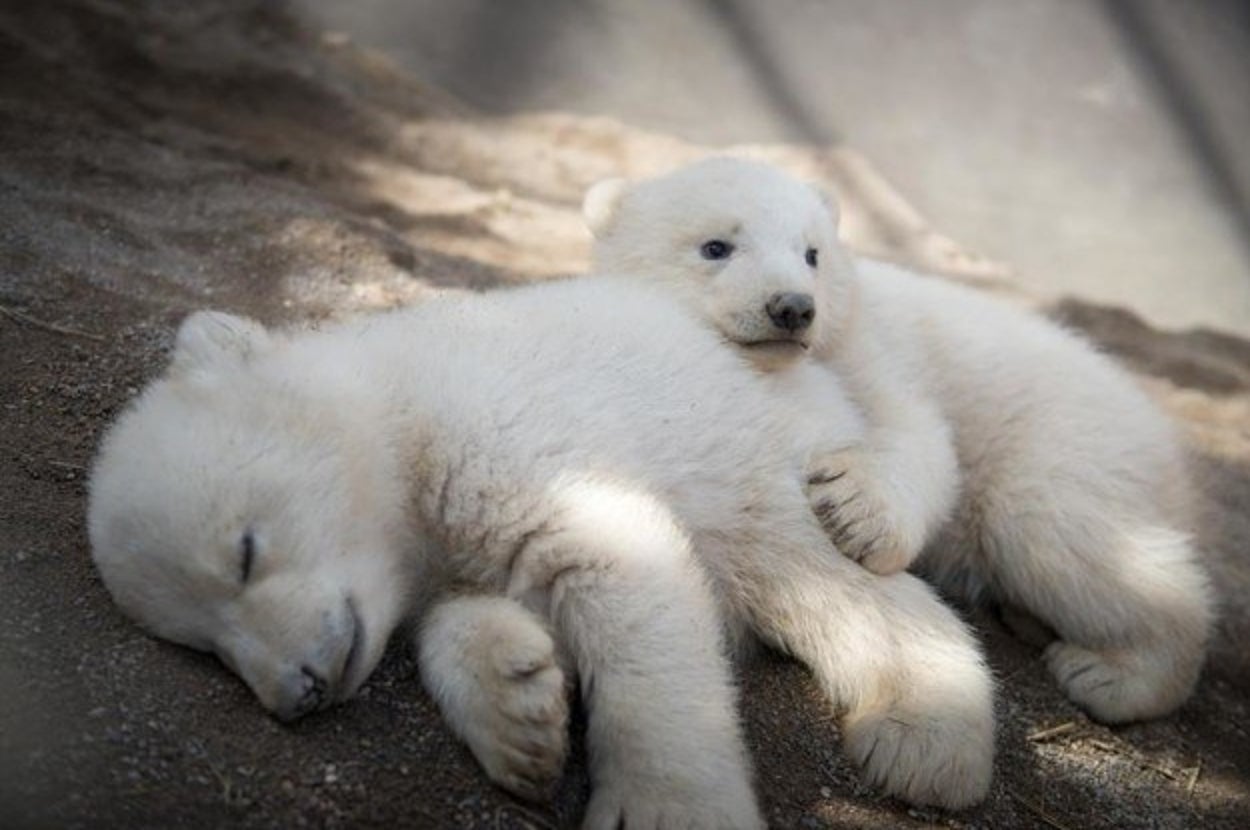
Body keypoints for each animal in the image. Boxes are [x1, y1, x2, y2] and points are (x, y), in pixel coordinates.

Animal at [87, 276, 996, 826]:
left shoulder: (509, 437)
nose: (298, 689)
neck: (401, 407)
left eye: (245, 553)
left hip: (752, 451)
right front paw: (519, 708)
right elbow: (475, 614)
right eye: (203, 645)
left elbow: (622, 567)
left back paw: (924, 738)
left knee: (807, 570)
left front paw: (663, 805)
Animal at [582, 156, 1215, 725]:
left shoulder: (870, 350)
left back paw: (1112, 675)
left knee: (1058, 534)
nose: (793, 308)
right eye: (716, 246)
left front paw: (853, 513)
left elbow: (916, 435)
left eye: (812, 254)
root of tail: (1169, 452)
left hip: (1067, 440)